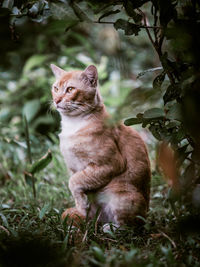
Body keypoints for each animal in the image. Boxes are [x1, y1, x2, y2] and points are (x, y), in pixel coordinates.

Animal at [50, 63, 151, 229]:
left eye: (70, 89)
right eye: (55, 88)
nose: (57, 100)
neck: (72, 125)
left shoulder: (111, 164)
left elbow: (75, 182)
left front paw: (81, 204)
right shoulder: (73, 168)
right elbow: (78, 187)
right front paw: (81, 211)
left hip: (121, 197)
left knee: (129, 226)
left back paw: (109, 228)